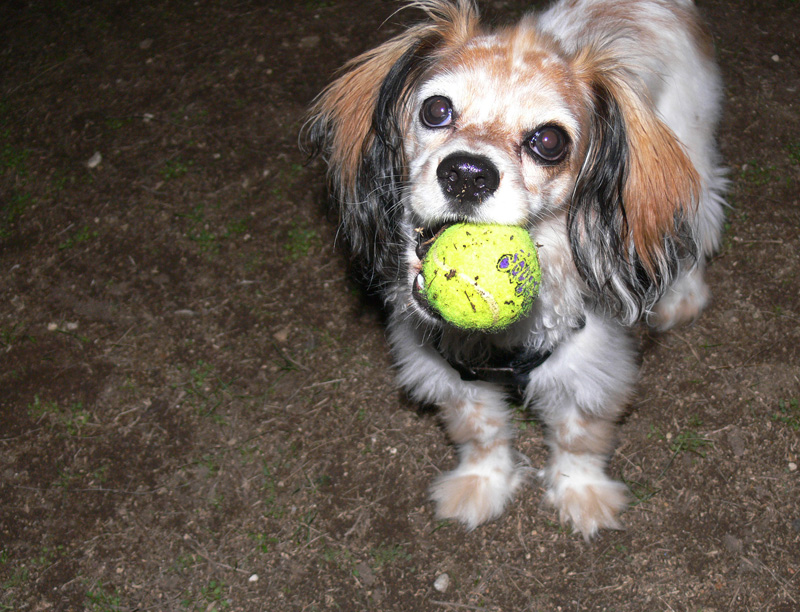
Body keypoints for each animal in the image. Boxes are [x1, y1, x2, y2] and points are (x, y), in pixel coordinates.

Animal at [304, 0, 724, 536]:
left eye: (549, 140)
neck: (501, 347)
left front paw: (582, 494)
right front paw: (481, 484)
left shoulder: (587, 365)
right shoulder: (450, 372)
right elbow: (480, 430)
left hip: (691, 160)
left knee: (693, 227)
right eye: (436, 109)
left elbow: (578, 437)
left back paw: (682, 296)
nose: (466, 173)